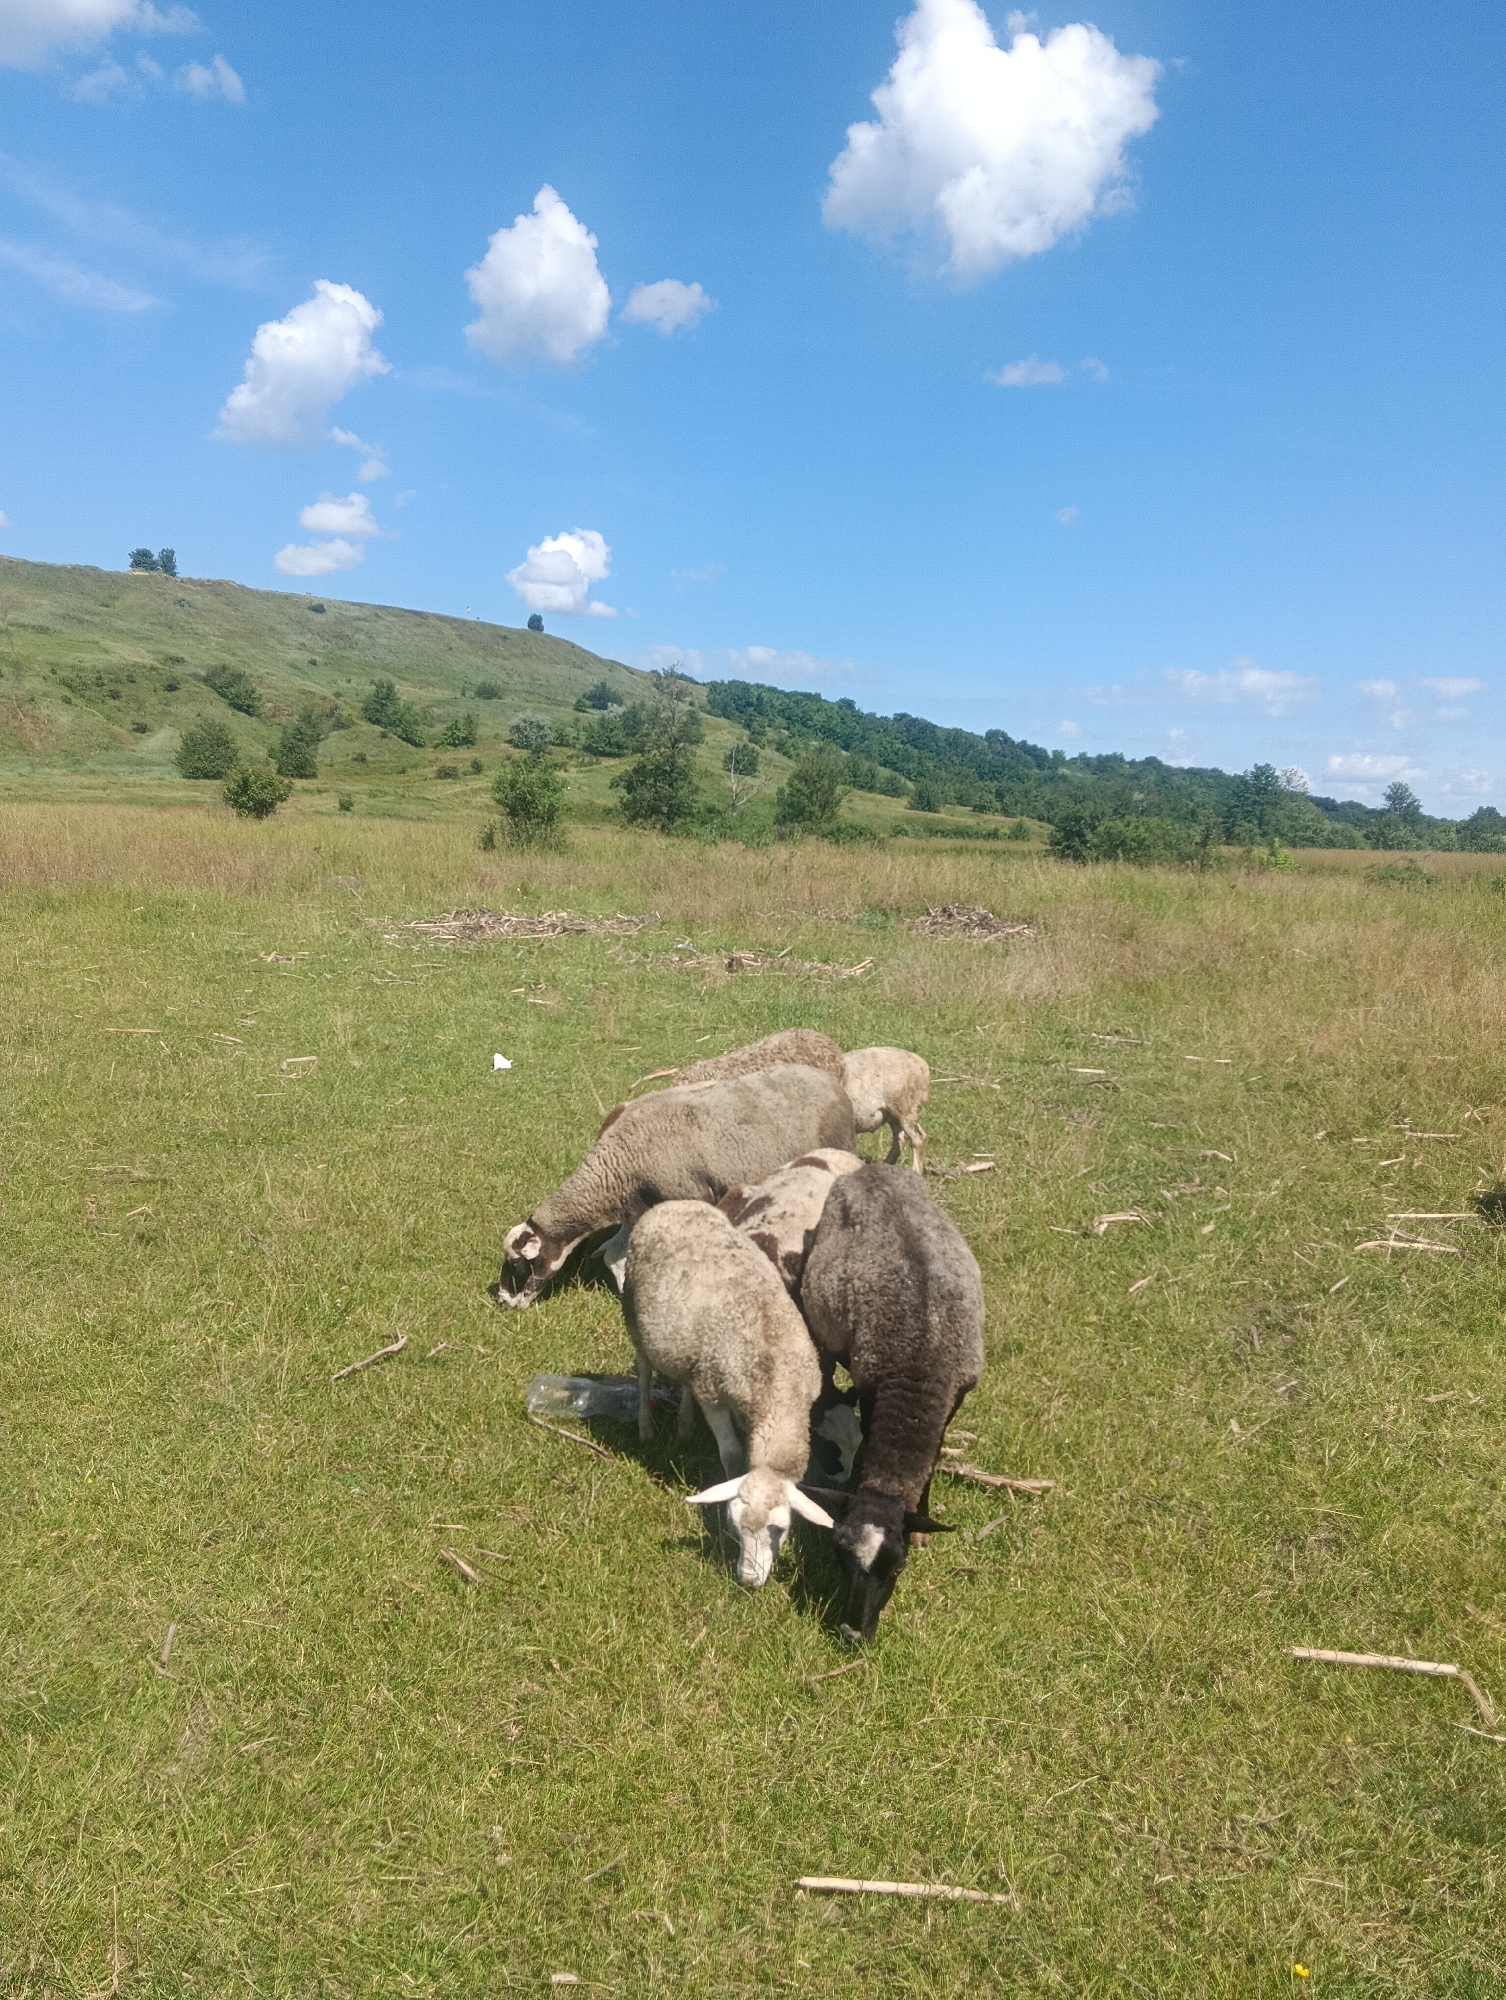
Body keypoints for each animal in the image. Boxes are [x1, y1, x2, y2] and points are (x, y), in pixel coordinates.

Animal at [497, 1065, 856, 1309]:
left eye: (518, 1263)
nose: (502, 1302)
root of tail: (830, 1081)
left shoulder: (694, 1198)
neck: (617, 1165)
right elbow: (618, 1258)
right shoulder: (639, 1211)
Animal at [622, 1201, 836, 1586]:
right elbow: (733, 1456)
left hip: (693, 1354)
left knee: (686, 1381)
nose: (749, 1579)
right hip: (633, 1312)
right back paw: (646, 1426)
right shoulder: (714, 1396)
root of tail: (670, 1204)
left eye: (780, 1529)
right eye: (734, 1525)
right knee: (644, 1372)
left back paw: (685, 1426)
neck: (776, 1391)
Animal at [798, 1163, 985, 1644]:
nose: (853, 1633)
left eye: (897, 1568)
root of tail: (872, 1169)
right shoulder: (871, 1383)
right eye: (839, 1557)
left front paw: (922, 1518)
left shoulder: (954, 1395)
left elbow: (933, 1459)